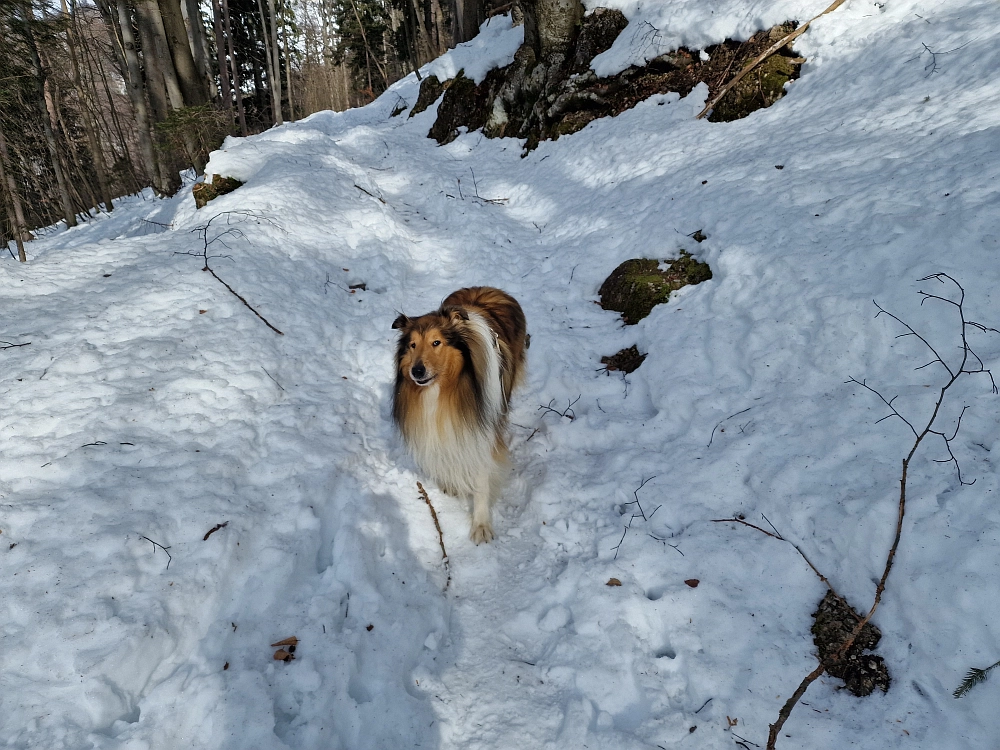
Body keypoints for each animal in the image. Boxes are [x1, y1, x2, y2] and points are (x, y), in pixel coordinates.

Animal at [392, 290, 532, 548]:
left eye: (436, 342)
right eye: (413, 345)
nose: (417, 371)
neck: (444, 390)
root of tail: (490, 288)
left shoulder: (483, 431)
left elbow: (481, 480)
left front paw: (481, 526)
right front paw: (450, 484)